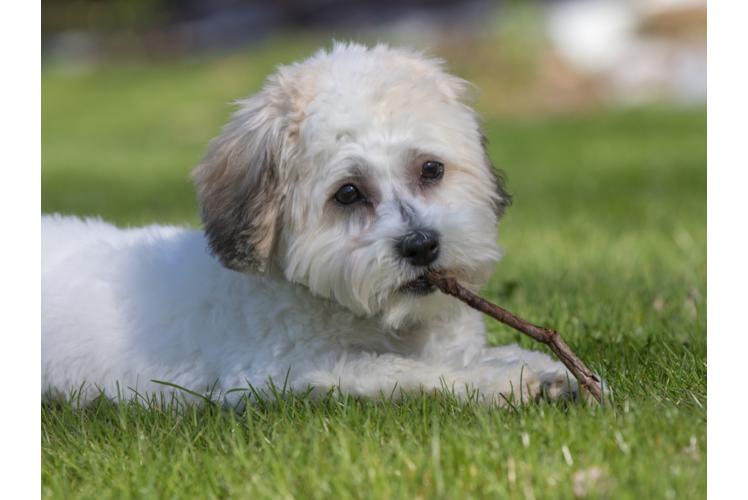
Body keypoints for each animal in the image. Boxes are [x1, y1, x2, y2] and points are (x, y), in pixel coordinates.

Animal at [41, 43, 588, 408]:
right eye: (347, 193)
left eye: (431, 169)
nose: (421, 246)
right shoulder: (285, 373)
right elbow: (413, 374)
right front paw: (503, 381)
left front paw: (535, 363)